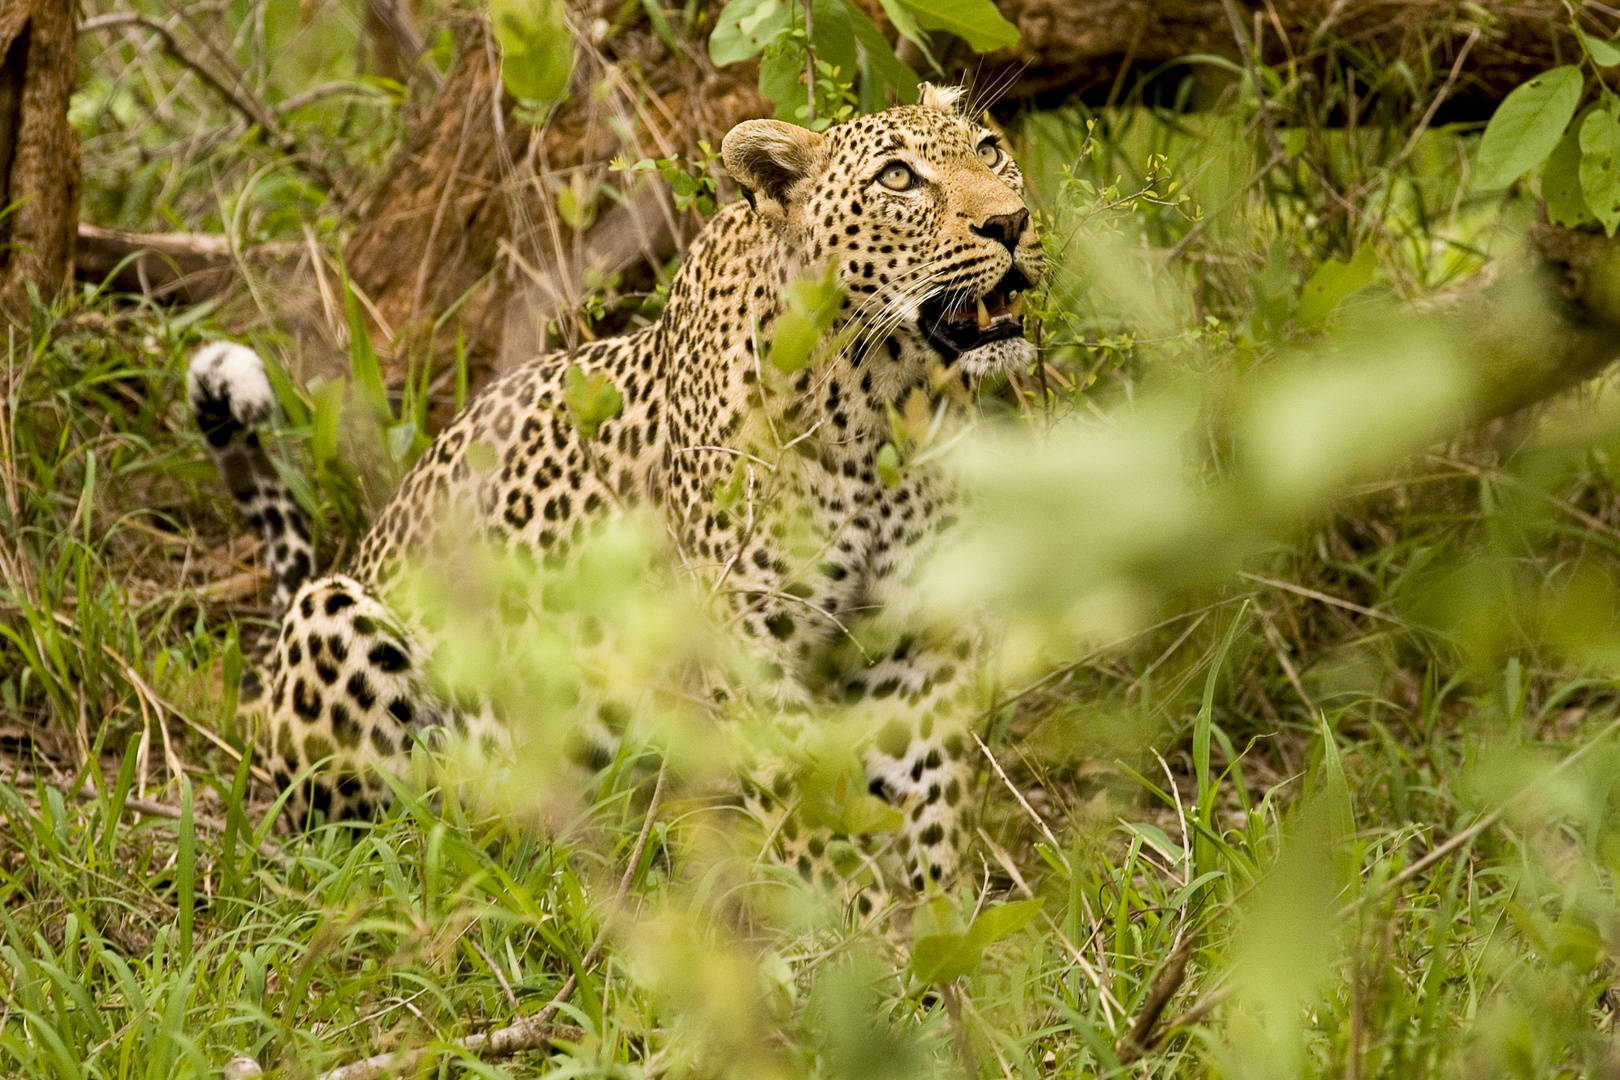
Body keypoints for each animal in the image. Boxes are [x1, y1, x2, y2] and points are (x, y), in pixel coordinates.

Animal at [189, 84, 1043, 906]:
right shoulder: (748, 645)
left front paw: (939, 927)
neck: (882, 407)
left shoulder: (921, 640)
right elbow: (808, 807)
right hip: (336, 616)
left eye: (990, 149)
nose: (1011, 221)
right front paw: (856, 928)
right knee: (390, 826)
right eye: (898, 178)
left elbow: (927, 803)